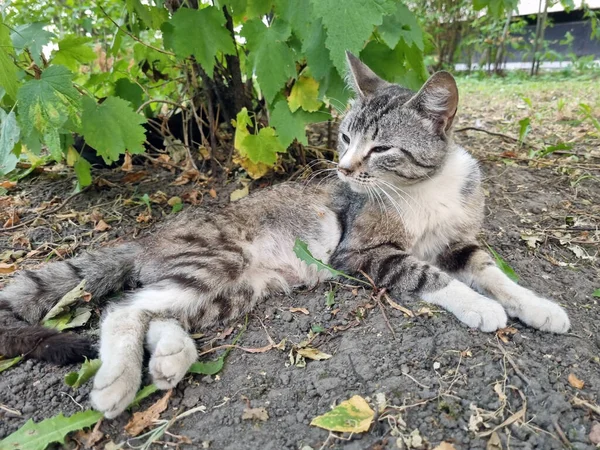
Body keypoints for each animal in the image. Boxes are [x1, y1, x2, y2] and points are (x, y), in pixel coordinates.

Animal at [0, 53, 572, 418]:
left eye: (382, 148)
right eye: (345, 137)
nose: (342, 168)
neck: (425, 190)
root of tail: (151, 238)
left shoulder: (458, 241)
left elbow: (492, 271)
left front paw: (538, 306)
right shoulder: (360, 252)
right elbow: (427, 274)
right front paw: (479, 308)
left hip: (232, 291)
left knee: (156, 312)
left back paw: (169, 359)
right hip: (219, 261)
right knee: (124, 309)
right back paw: (116, 384)